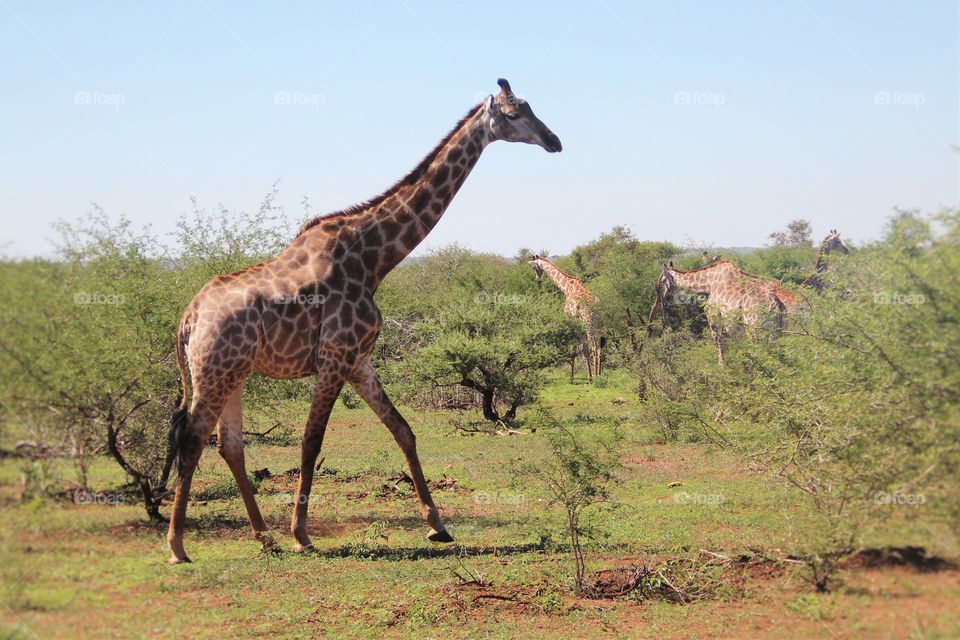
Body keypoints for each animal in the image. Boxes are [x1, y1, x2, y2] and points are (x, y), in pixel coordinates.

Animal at [165, 77, 564, 564]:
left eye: (530, 106)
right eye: (511, 113)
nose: (554, 140)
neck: (376, 260)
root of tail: (188, 318)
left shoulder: (360, 361)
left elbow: (403, 430)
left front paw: (437, 525)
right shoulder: (336, 357)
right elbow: (311, 439)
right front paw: (301, 533)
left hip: (234, 373)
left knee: (229, 445)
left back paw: (263, 536)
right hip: (215, 371)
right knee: (192, 438)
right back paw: (179, 545)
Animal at [528, 256, 604, 384]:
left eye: (534, 267)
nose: (537, 280)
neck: (567, 288)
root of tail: (597, 307)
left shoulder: (569, 318)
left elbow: (573, 350)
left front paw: (571, 378)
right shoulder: (579, 325)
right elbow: (584, 351)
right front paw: (589, 378)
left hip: (589, 325)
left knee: (594, 347)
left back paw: (597, 378)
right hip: (600, 327)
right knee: (599, 348)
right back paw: (599, 375)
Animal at [648, 258, 792, 364]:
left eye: (658, 285)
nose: (660, 303)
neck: (709, 283)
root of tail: (776, 304)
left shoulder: (713, 316)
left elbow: (719, 344)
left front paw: (722, 369)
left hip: (755, 328)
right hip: (779, 331)